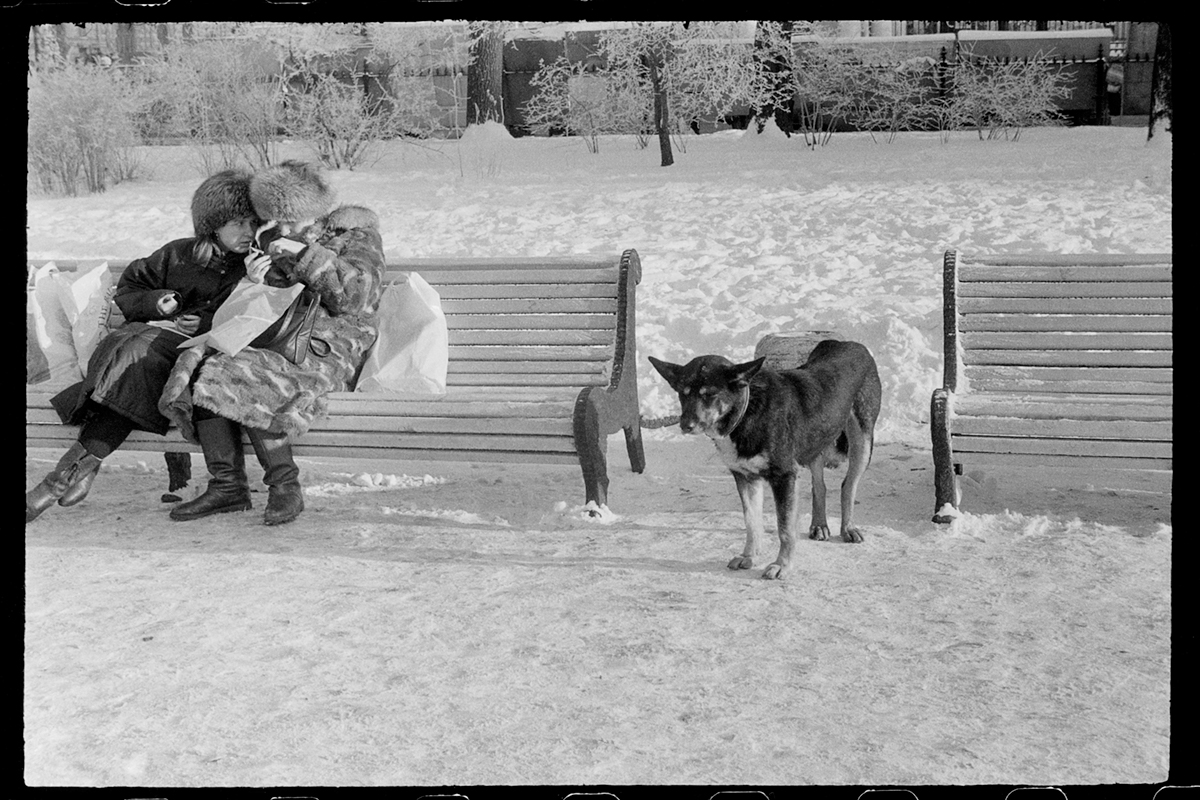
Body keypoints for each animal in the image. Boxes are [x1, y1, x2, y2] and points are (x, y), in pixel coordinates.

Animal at [648, 340, 883, 582]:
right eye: (682, 394)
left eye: (710, 394)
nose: (685, 425)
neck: (747, 413)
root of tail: (847, 343)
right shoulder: (746, 478)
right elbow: (751, 522)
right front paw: (748, 556)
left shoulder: (784, 477)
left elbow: (785, 529)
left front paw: (782, 565)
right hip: (816, 441)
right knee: (820, 486)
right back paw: (819, 525)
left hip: (862, 443)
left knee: (848, 486)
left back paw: (848, 528)